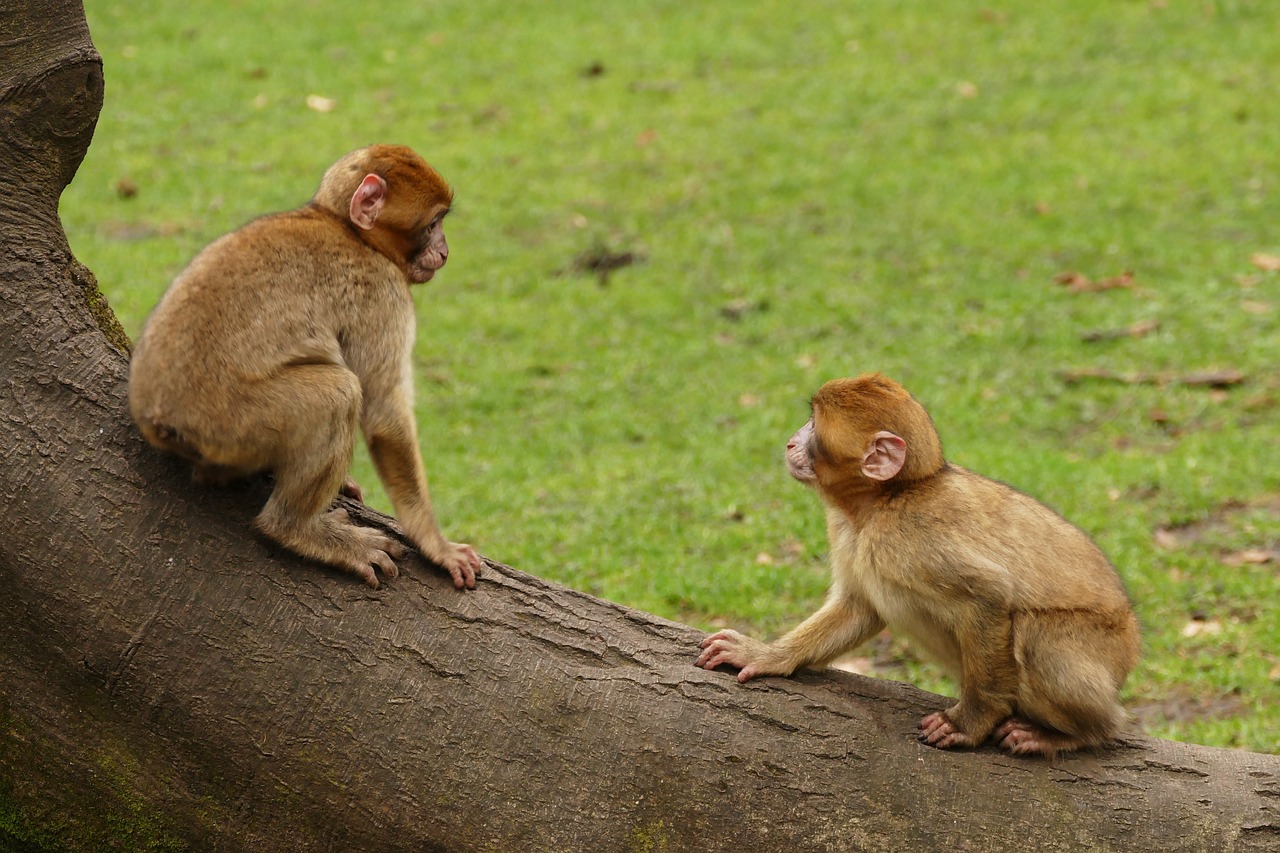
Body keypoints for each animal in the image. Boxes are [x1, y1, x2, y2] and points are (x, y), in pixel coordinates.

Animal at [128, 142, 483, 589]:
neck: (345, 227)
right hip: (232, 422)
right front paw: (436, 544)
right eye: (434, 223)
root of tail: (155, 418)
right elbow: (383, 413)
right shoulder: (384, 293)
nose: (445, 251)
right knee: (339, 393)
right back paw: (294, 529)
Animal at [701, 371, 1141, 753]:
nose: (792, 442)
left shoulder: (908, 537)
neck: (884, 500)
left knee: (1035, 636)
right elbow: (859, 607)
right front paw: (767, 656)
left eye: (813, 426)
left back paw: (1082, 733)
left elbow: (989, 596)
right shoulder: (846, 529)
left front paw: (971, 722)